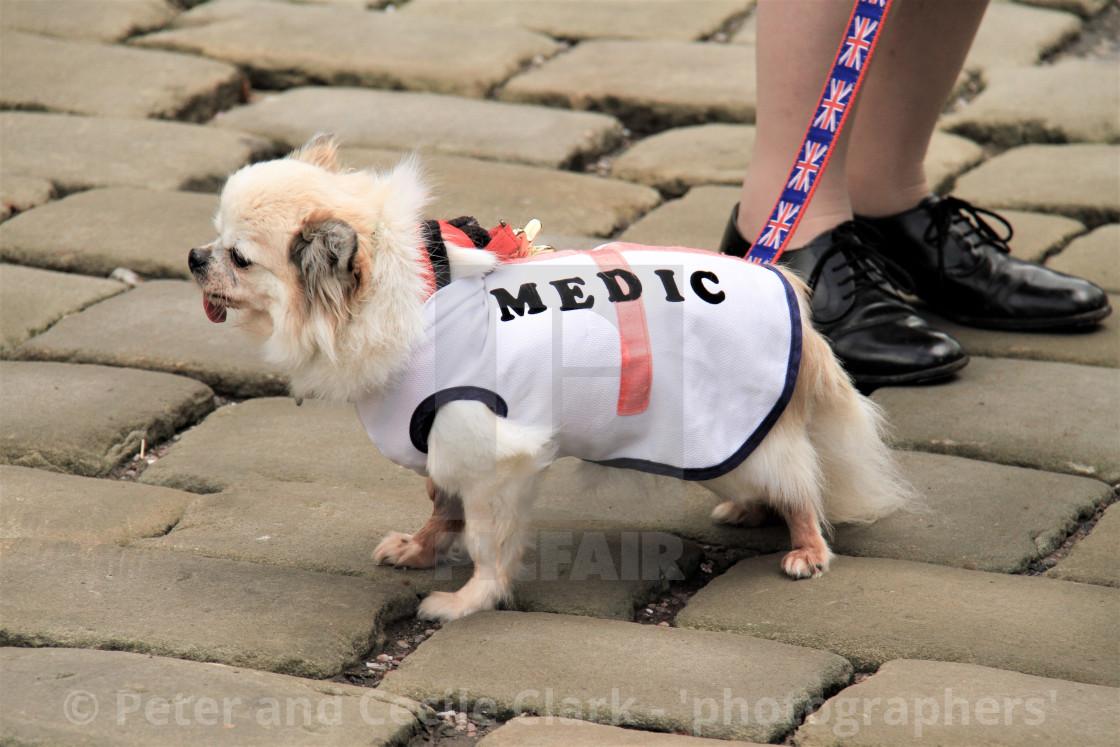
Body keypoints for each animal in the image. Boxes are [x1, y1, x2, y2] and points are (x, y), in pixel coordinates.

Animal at [188, 136, 913, 627]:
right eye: (213, 237)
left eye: (239, 258)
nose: (194, 256)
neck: (414, 296)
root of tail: (790, 290)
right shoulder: (446, 443)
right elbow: (441, 508)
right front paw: (420, 550)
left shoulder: (491, 453)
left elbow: (486, 541)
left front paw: (467, 600)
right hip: (722, 438)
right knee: (777, 473)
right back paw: (750, 509)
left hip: (729, 418)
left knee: (800, 485)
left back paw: (806, 549)